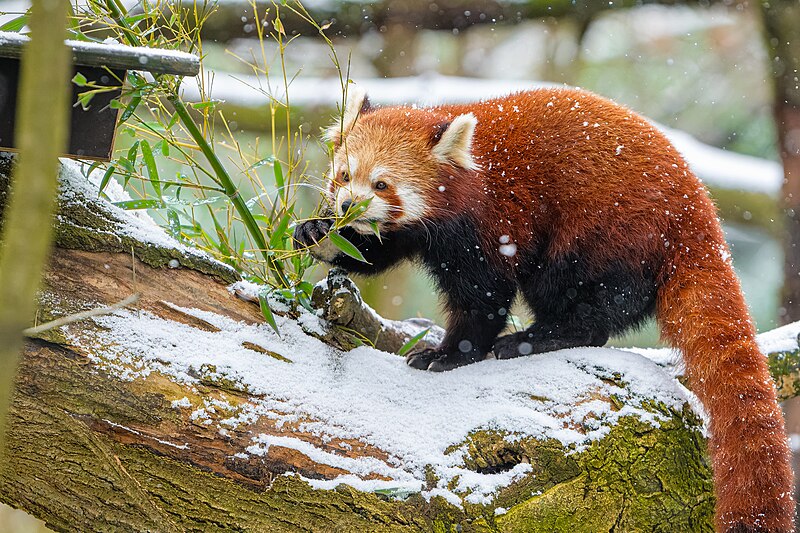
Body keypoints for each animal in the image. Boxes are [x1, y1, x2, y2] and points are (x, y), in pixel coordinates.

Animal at [296, 85, 800, 528]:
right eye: (344, 175)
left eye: (382, 184)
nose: (348, 202)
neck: (467, 180)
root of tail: (696, 206)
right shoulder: (415, 231)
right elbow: (372, 250)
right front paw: (320, 235)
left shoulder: (490, 222)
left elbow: (483, 298)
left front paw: (448, 353)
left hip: (605, 230)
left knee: (587, 299)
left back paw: (537, 338)